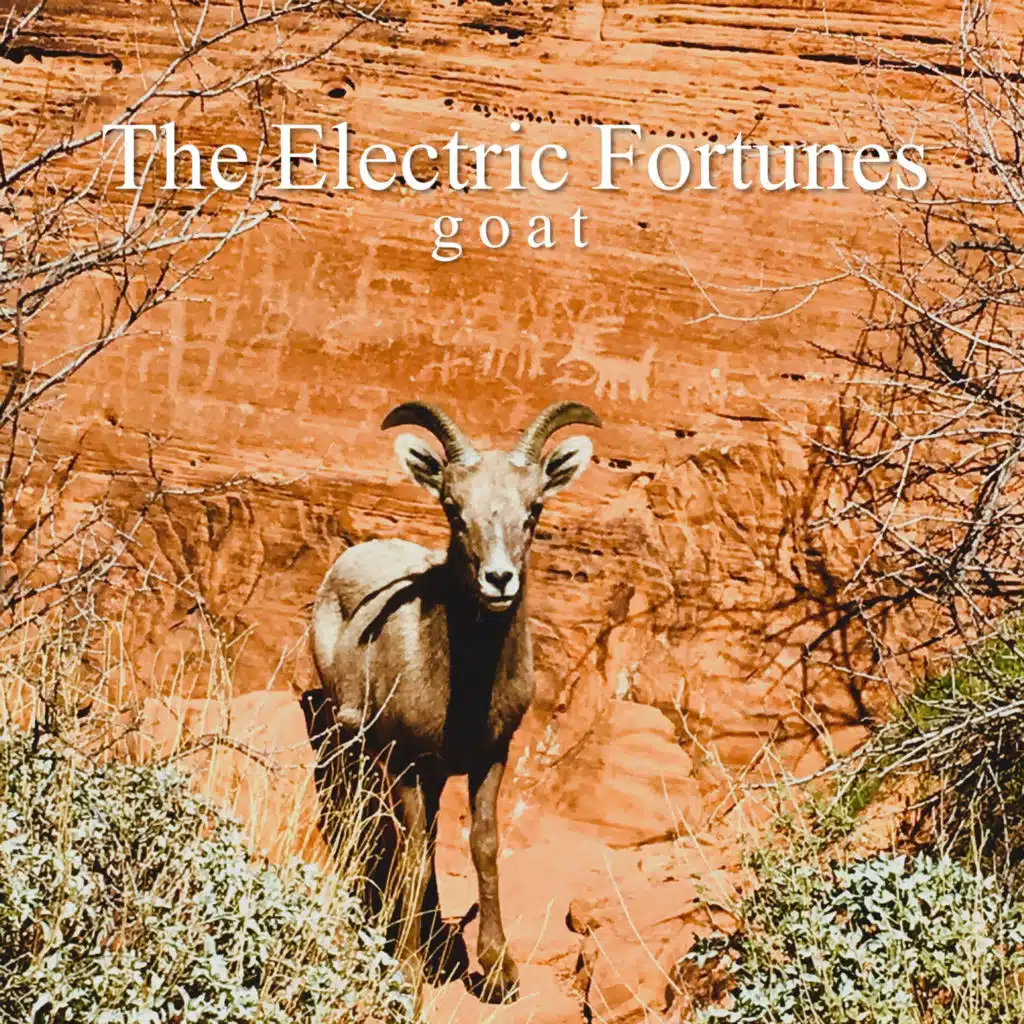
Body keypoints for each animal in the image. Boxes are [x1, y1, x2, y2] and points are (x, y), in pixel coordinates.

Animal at [311, 400, 600, 1004]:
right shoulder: (405, 763)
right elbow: (415, 858)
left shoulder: (490, 757)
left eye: (534, 508)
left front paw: (496, 971)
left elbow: (482, 846)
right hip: (355, 742)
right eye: (453, 509)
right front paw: (409, 972)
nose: (499, 580)